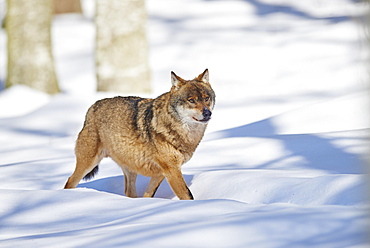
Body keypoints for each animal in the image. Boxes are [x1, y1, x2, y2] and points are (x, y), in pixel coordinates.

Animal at [63, 69, 214, 200]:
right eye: (192, 100)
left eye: (206, 98)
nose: (207, 113)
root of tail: (92, 107)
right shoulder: (172, 170)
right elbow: (188, 195)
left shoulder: (162, 172)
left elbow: (148, 195)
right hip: (88, 163)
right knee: (69, 181)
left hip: (130, 169)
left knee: (129, 192)